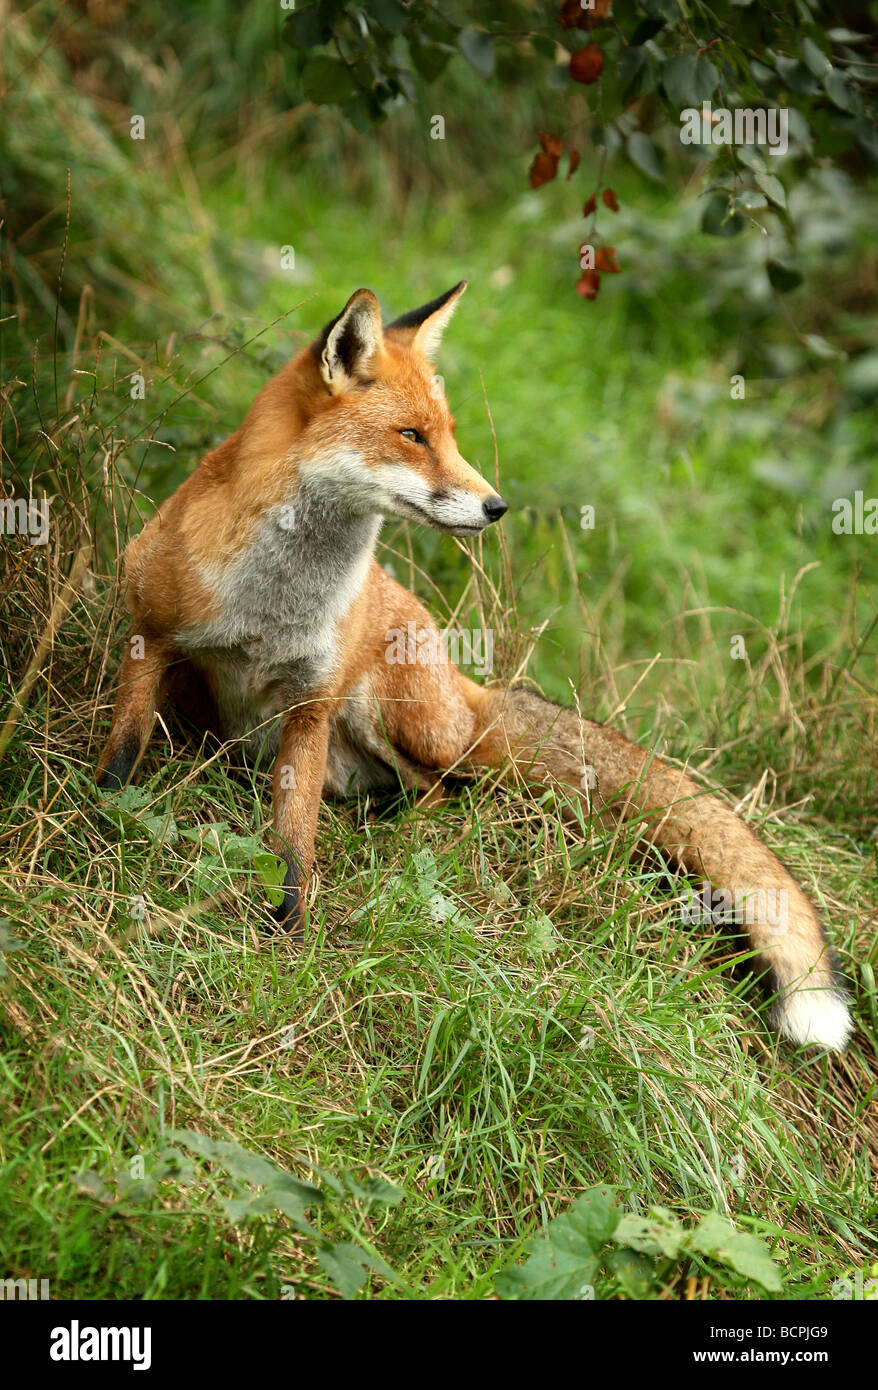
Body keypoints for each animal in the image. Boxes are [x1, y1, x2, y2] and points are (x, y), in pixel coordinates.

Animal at [95, 282, 850, 1045]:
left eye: (450, 433)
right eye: (411, 436)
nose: (496, 506)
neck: (275, 606)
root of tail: (471, 693)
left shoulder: (314, 700)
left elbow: (293, 842)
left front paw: (289, 935)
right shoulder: (149, 638)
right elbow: (122, 756)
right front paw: (97, 830)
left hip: (383, 711)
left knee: (443, 795)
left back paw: (402, 840)